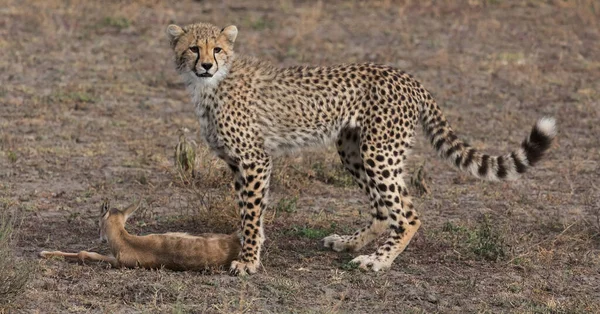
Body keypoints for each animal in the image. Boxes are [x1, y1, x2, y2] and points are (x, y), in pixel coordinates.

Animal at [166, 22, 556, 274]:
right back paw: (350, 243)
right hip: (353, 149)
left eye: (217, 48)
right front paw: (251, 247)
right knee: (384, 211)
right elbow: (251, 212)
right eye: (193, 48)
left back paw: (377, 261)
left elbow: (250, 213)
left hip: (379, 152)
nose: (206, 64)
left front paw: (248, 261)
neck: (211, 86)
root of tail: (407, 76)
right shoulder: (237, 163)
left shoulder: (254, 160)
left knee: (408, 214)